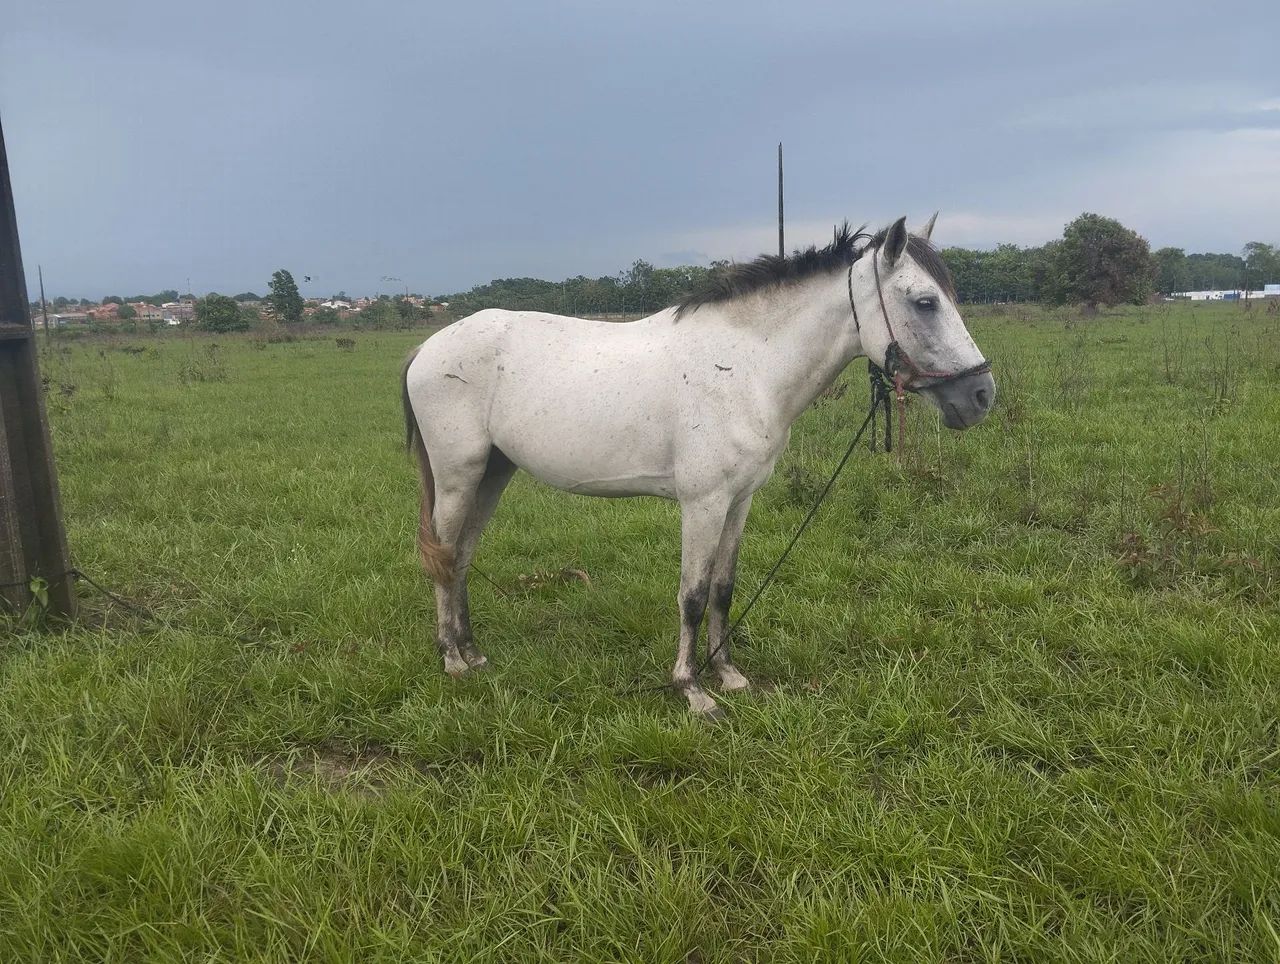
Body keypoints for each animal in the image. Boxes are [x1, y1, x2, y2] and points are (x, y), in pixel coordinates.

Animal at [401, 215, 995, 717]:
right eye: (925, 302)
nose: (982, 396)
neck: (745, 367)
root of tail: (426, 348)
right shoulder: (703, 504)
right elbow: (691, 594)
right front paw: (692, 689)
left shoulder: (740, 500)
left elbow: (723, 588)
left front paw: (728, 675)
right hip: (458, 477)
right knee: (444, 555)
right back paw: (452, 659)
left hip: (493, 474)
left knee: (461, 556)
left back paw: (474, 652)